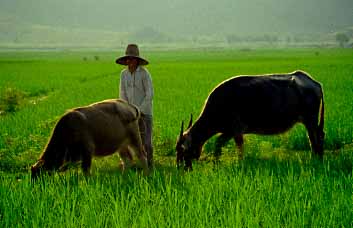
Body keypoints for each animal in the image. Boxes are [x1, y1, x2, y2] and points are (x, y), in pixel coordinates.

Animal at [176, 70, 324, 170]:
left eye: (181, 149)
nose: (179, 166)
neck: (220, 104)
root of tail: (314, 83)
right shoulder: (228, 131)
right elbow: (218, 144)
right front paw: (216, 164)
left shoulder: (236, 130)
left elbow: (239, 147)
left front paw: (240, 163)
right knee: (319, 135)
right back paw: (319, 158)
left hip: (310, 120)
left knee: (314, 138)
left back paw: (315, 159)